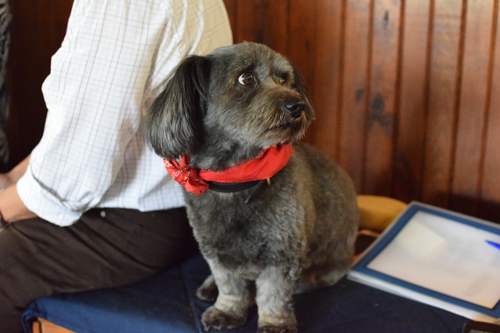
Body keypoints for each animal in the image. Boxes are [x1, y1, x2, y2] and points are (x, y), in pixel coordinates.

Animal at [145, 42, 360, 330]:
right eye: (245, 78)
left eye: (284, 79)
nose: (297, 105)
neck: (236, 181)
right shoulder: (216, 250)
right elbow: (230, 285)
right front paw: (227, 310)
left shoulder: (282, 253)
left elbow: (273, 293)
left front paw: (275, 323)